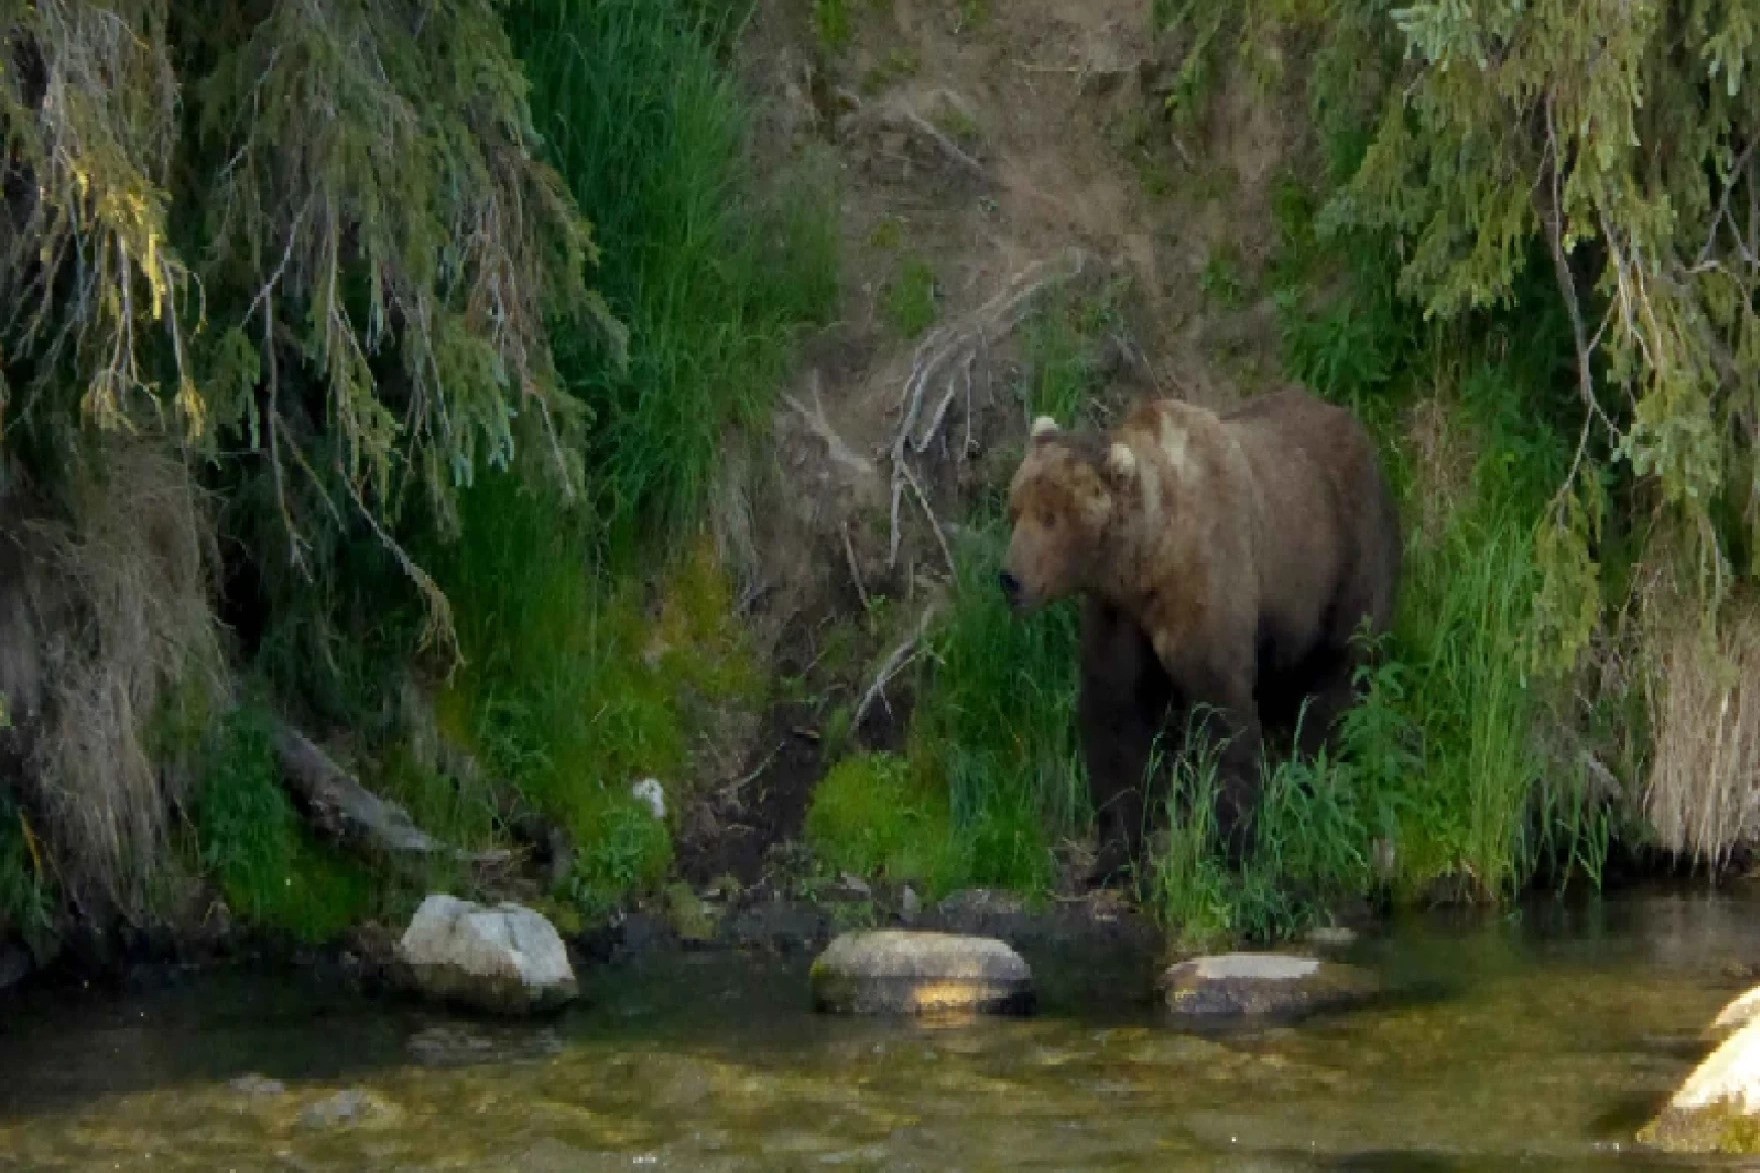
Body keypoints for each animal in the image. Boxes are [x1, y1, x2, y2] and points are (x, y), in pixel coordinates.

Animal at [1006, 383, 1400, 877]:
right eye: (1015, 507)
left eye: (1051, 516)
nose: (1009, 578)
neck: (1150, 557)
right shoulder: (1119, 610)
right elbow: (1114, 712)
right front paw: (1115, 851)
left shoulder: (1208, 584)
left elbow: (1221, 708)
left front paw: (1233, 842)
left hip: (1345, 555)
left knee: (1339, 674)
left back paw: (1312, 770)